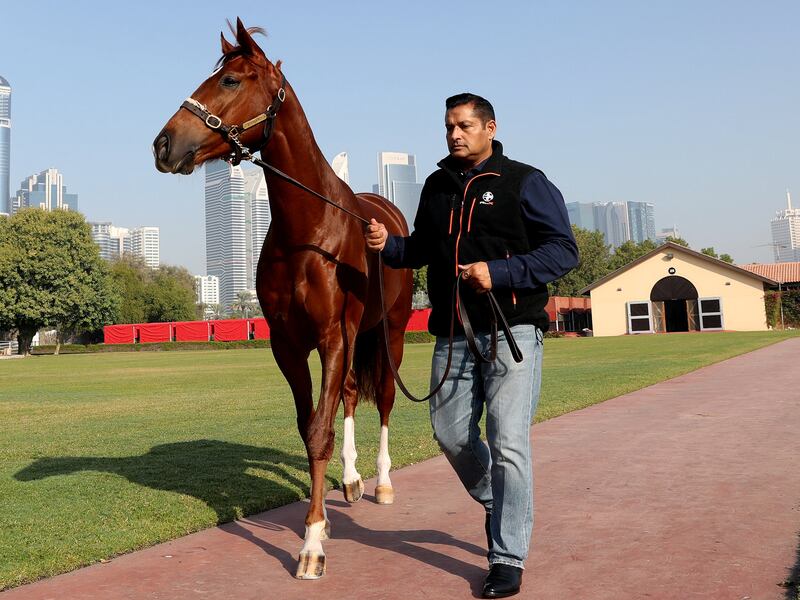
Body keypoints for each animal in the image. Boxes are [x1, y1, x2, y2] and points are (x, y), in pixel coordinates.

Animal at [152, 21, 412, 580]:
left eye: (230, 80)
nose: (163, 143)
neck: (309, 232)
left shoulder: (333, 337)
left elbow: (319, 432)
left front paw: (312, 544)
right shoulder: (288, 345)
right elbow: (309, 426)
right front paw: (324, 518)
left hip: (392, 331)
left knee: (382, 397)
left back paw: (381, 482)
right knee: (350, 394)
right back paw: (352, 480)